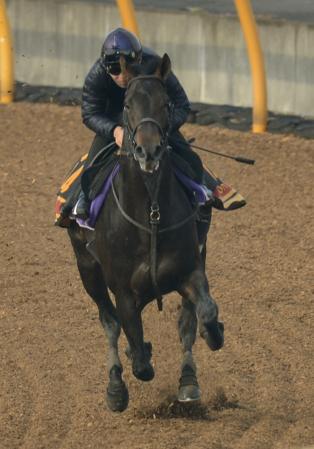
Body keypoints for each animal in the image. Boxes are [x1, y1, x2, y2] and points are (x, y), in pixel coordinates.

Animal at [68, 54, 224, 412]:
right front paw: (132, 364)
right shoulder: (123, 290)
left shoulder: (190, 269)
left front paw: (214, 334)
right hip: (88, 270)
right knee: (110, 323)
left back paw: (188, 380)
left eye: (166, 103)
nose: (148, 150)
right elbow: (138, 357)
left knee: (186, 323)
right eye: (127, 104)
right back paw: (115, 386)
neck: (150, 213)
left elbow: (204, 313)